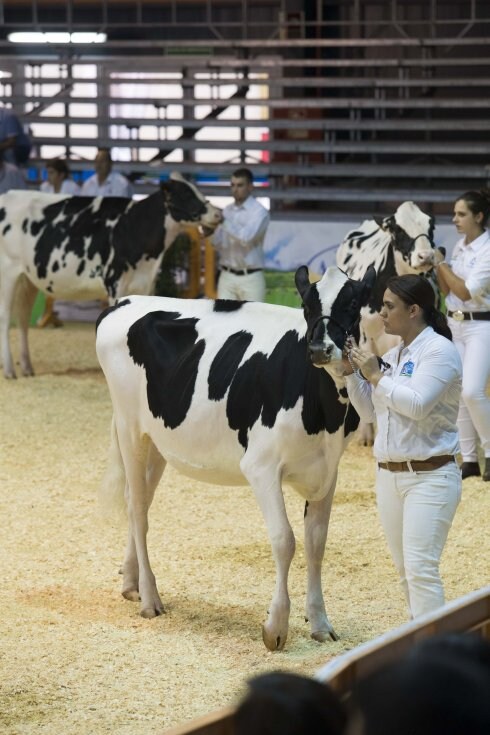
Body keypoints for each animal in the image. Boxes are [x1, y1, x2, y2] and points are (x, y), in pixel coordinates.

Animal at [0, 174, 222, 380]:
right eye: (186, 194)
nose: (218, 213)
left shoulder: (146, 284)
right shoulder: (115, 283)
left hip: (27, 279)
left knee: (23, 318)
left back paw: (27, 367)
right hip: (8, 273)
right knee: (5, 317)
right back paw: (10, 370)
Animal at [95, 264, 376, 648]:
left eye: (352, 305)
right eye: (307, 306)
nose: (319, 348)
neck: (324, 414)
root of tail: (125, 301)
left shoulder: (327, 470)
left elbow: (316, 542)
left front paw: (320, 622)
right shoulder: (261, 466)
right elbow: (285, 540)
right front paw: (276, 627)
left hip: (157, 440)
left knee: (136, 500)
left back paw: (130, 582)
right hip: (129, 428)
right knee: (138, 509)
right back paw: (151, 598)